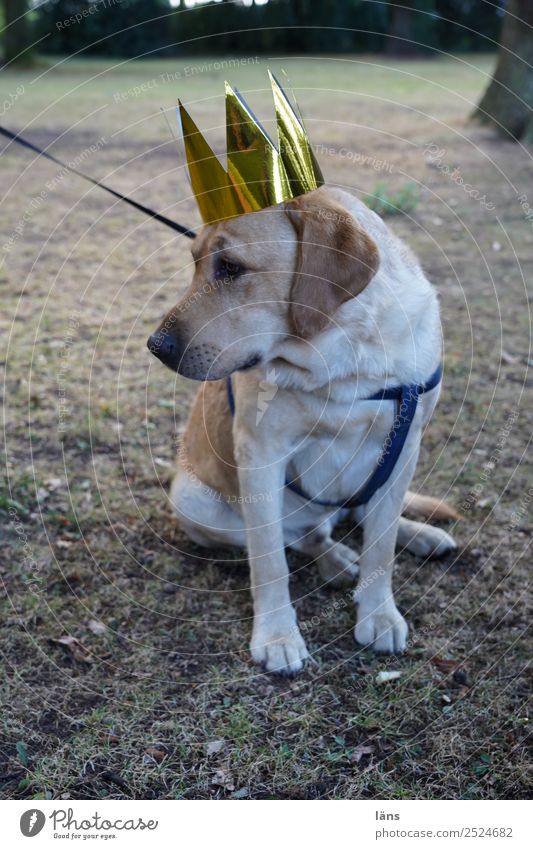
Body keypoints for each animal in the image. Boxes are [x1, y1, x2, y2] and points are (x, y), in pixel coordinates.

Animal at [148, 187, 456, 676]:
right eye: (195, 261)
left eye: (230, 267)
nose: (155, 347)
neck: (344, 362)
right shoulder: (260, 454)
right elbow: (270, 559)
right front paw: (277, 637)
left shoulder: (404, 445)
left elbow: (382, 545)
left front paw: (378, 613)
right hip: (193, 501)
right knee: (308, 535)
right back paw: (337, 560)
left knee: (360, 517)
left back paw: (420, 535)